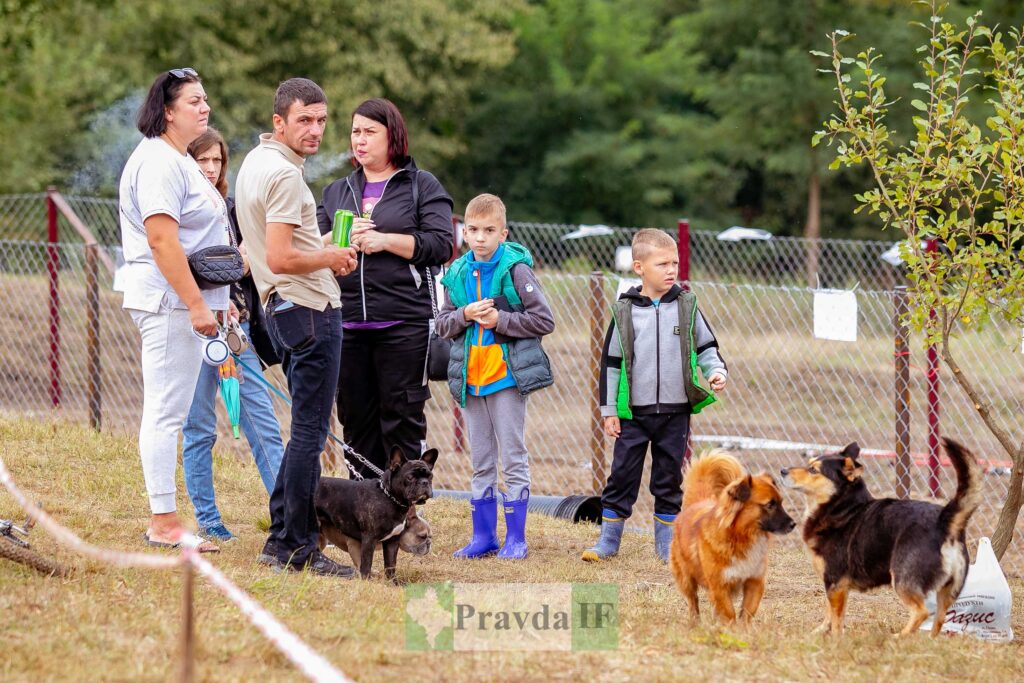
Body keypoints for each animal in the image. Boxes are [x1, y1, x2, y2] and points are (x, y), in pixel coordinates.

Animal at [315, 448, 436, 581]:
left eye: (430, 476)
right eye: (410, 477)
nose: (425, 482)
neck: (390, 498)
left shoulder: (392, 542)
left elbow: (390, 565)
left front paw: (393, 582)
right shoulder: (366, 541)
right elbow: (365, 565)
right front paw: (367, 581)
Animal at [671, 450, 798, 626]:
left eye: (781, 502)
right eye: (769, 505)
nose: (793, 524)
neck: (741, 536)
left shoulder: (755, 582)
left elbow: (747, 613)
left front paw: (743, 630)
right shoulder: (719, 586)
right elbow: (729, 613)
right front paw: (729, 629)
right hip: (685, 578)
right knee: (692, 601)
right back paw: (695, 622)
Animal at [782, 438, 983, 634]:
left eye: (813, 470)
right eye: (808, 463)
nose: (782, 470)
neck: (840, 507)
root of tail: (944, 521)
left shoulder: (835, 582)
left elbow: (837, 620)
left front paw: (835, 639)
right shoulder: (833, 584)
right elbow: (828, 611)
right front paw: (822, 630)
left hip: (902, 581)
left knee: (922, 612)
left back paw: (898, 637)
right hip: (948, 592)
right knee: (939, 619)